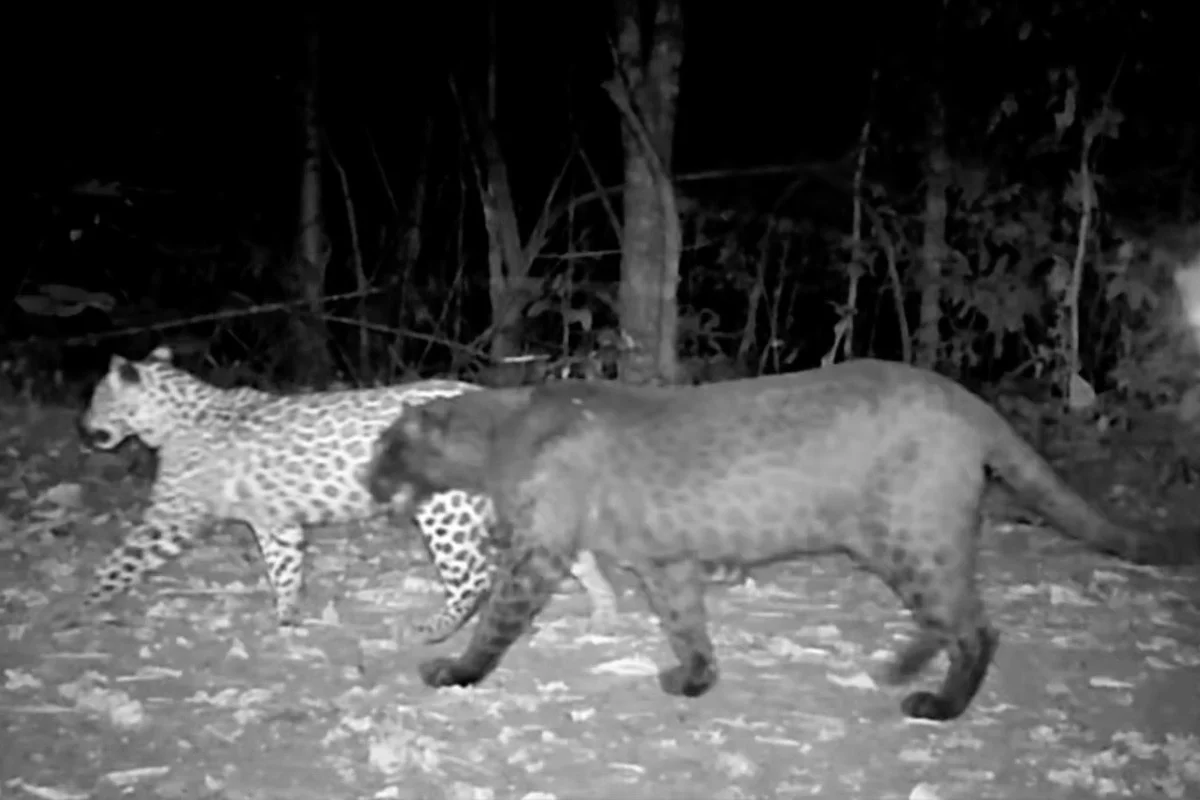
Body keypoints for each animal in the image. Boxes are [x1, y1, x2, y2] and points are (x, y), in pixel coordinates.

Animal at [68, 345, 618, 643]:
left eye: (96, 397)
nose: (83, 427)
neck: (173, 417)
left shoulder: (170, 518)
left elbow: (119, 562)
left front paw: (75, 608)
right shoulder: (276, 522)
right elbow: (285, 568)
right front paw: (287, 618)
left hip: (445, 510)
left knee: (474, 575)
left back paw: (430, 630)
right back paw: (605, 609)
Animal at [362, 358, 1196, 722]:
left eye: (385, 447)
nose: (368, 478)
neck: (496, 433)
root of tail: (963, 395)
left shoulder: (539, 552)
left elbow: (499, 619)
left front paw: (455, 671)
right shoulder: (666, 560)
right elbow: (685, 622)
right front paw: (694, 679)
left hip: (908, 534)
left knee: (976, 625)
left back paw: (936, 704)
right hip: (898, 543)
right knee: (948, 613)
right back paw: (897, 668)